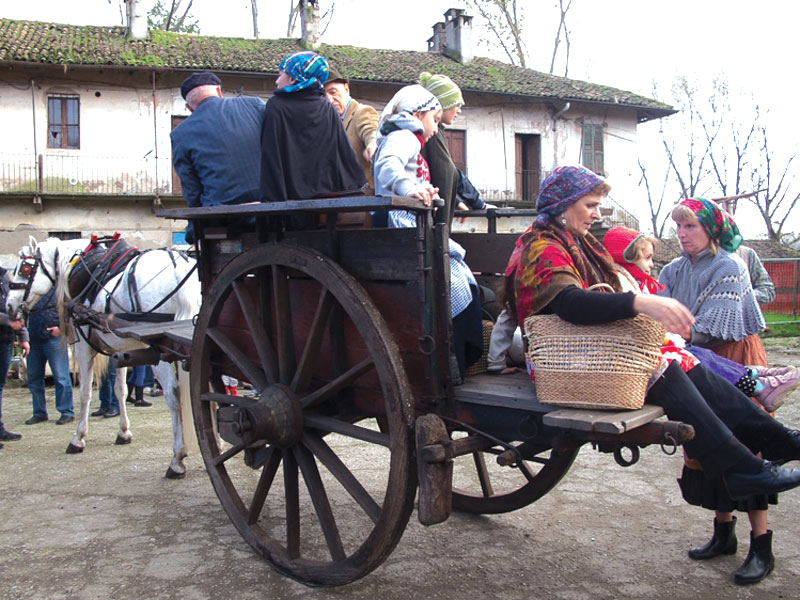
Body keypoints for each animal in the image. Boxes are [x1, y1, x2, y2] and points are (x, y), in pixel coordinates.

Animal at [7, 237, 200, 476]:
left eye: (24, 269)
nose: (9, 306)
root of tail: (178, 268)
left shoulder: (83, 347)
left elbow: (85, 392)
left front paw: (78, 438)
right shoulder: (123, 348)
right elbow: (120, 389)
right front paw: (124, 433)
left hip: (160, 351)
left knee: (174, 395)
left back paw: (177, 459)